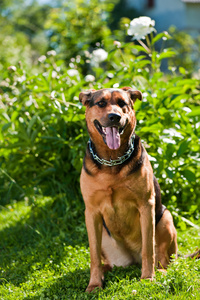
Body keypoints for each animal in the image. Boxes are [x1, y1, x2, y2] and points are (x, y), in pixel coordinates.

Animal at [79, 86, 177, 292]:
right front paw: (94, 283)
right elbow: (93, 257)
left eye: (122, 103)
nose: (115, 116)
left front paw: (148, 278)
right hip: (105, 239)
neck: (111, 161)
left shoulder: (146, 205)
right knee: (105, 262)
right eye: (101, 103)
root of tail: (132, 259)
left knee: (165, 261)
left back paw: (160, 272)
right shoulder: (91, 212)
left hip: (166, 218)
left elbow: (149, 249)